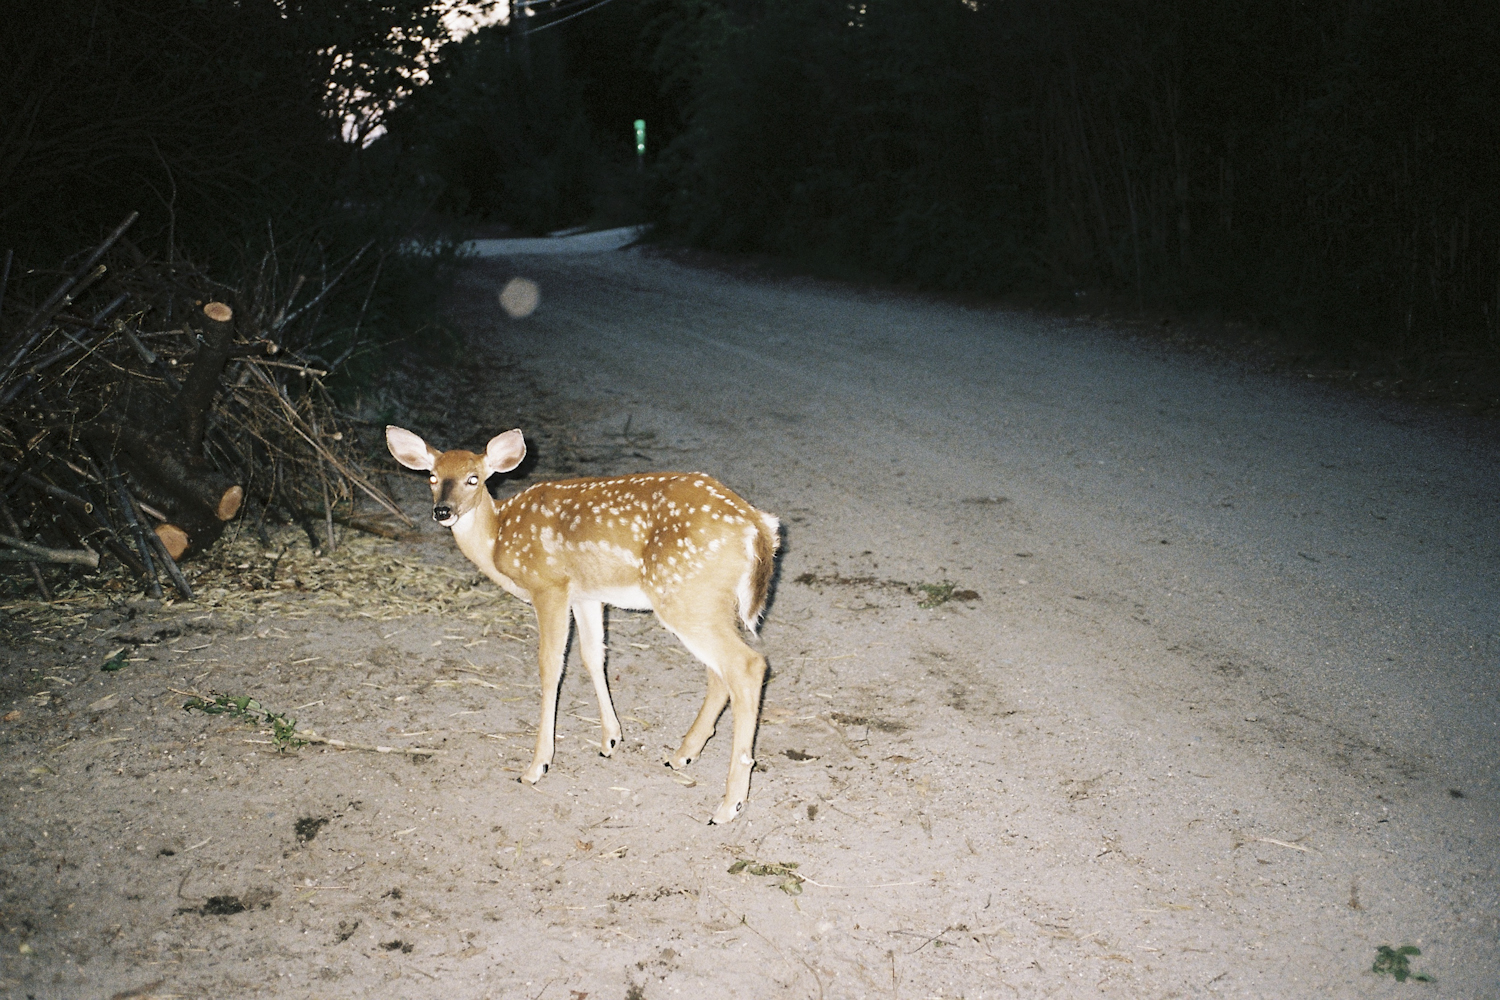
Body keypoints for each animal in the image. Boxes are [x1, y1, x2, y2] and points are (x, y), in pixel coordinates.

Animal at [385, 426, 781, 825]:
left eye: (474, 478)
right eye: (432, 477)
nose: (442, 511)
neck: (498, 537)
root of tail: (758, 527)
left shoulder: (549, 586)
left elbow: (550, 666)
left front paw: (537, 766)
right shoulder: (586, 595)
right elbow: (593, 655)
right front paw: (610, 740)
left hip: (683, 594)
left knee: (747, 665)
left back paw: (729, 804)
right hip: (707, 601)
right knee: (721, 673)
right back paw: (682, 754)